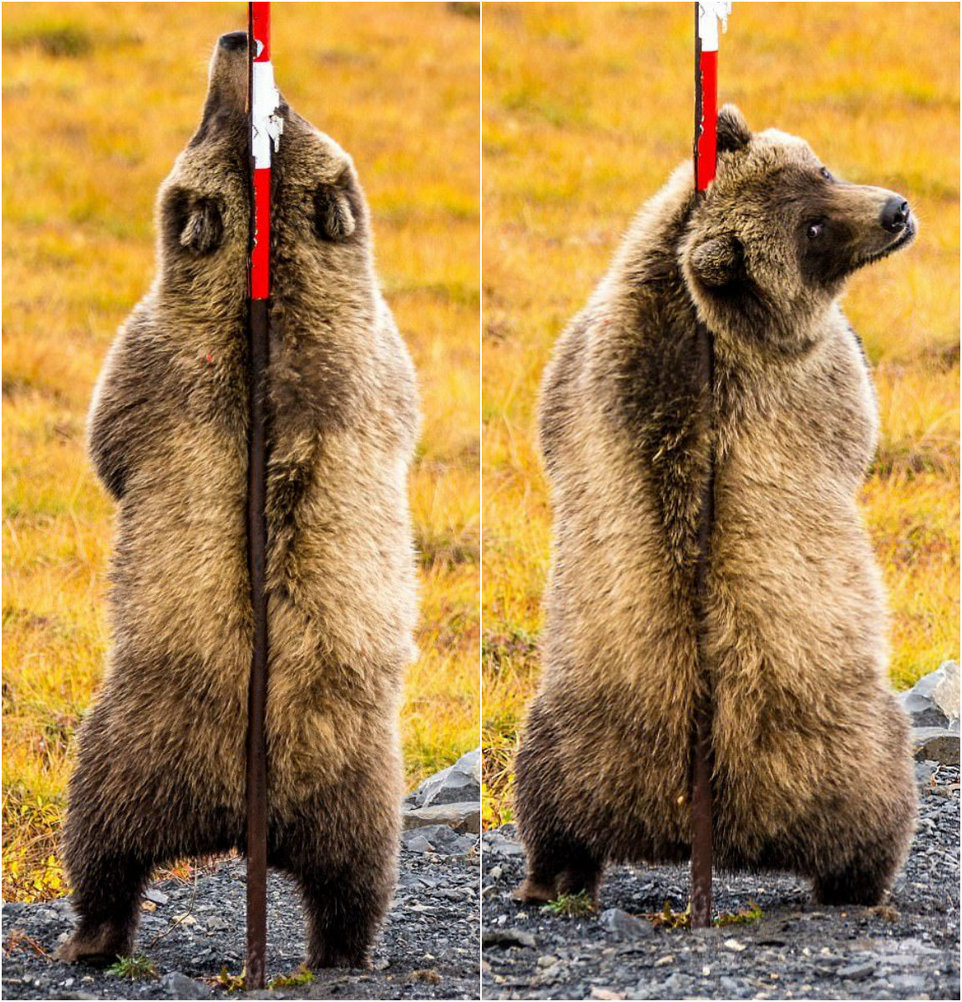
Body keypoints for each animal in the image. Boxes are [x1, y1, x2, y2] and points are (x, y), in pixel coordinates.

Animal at [58, 33, 418, 969]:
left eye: (275, 111)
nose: (235, 38)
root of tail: (246, 815)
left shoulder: (149, 344)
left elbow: (108, 431)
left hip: (121, 756)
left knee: (105, 854)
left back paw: (90, 937)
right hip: (360, 798)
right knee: (348, 884)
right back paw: (337, 953)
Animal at [517, 107, 917, 909]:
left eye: (821, 170)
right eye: (812, 230)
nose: (895, 211)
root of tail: (698, 812)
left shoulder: (579, 367)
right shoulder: (803, 380)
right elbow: (856, 413)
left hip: (578, 732)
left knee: (552, 808)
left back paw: (547, 877)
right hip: (835, 745)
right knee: (875, 806)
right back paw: (865, 884)